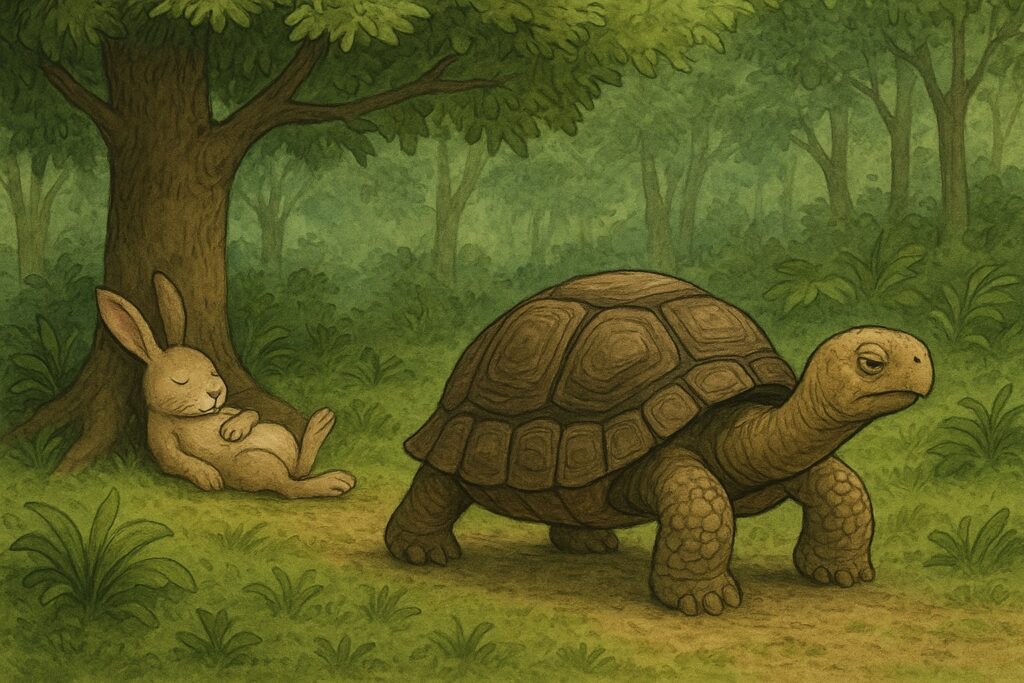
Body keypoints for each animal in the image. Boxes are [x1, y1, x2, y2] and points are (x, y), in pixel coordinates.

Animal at [96, 272, 355, 498]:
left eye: (213, 371)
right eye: (180, 380)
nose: (215, 392)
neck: (188, 417)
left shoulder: (228, 408)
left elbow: (250, 412)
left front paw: (232, 430)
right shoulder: (161, 439)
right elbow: (179, 461)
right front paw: (210, 478)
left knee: (299, 470)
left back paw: (322, 422)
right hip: (255, 462)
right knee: (291, 485)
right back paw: (335, 479)